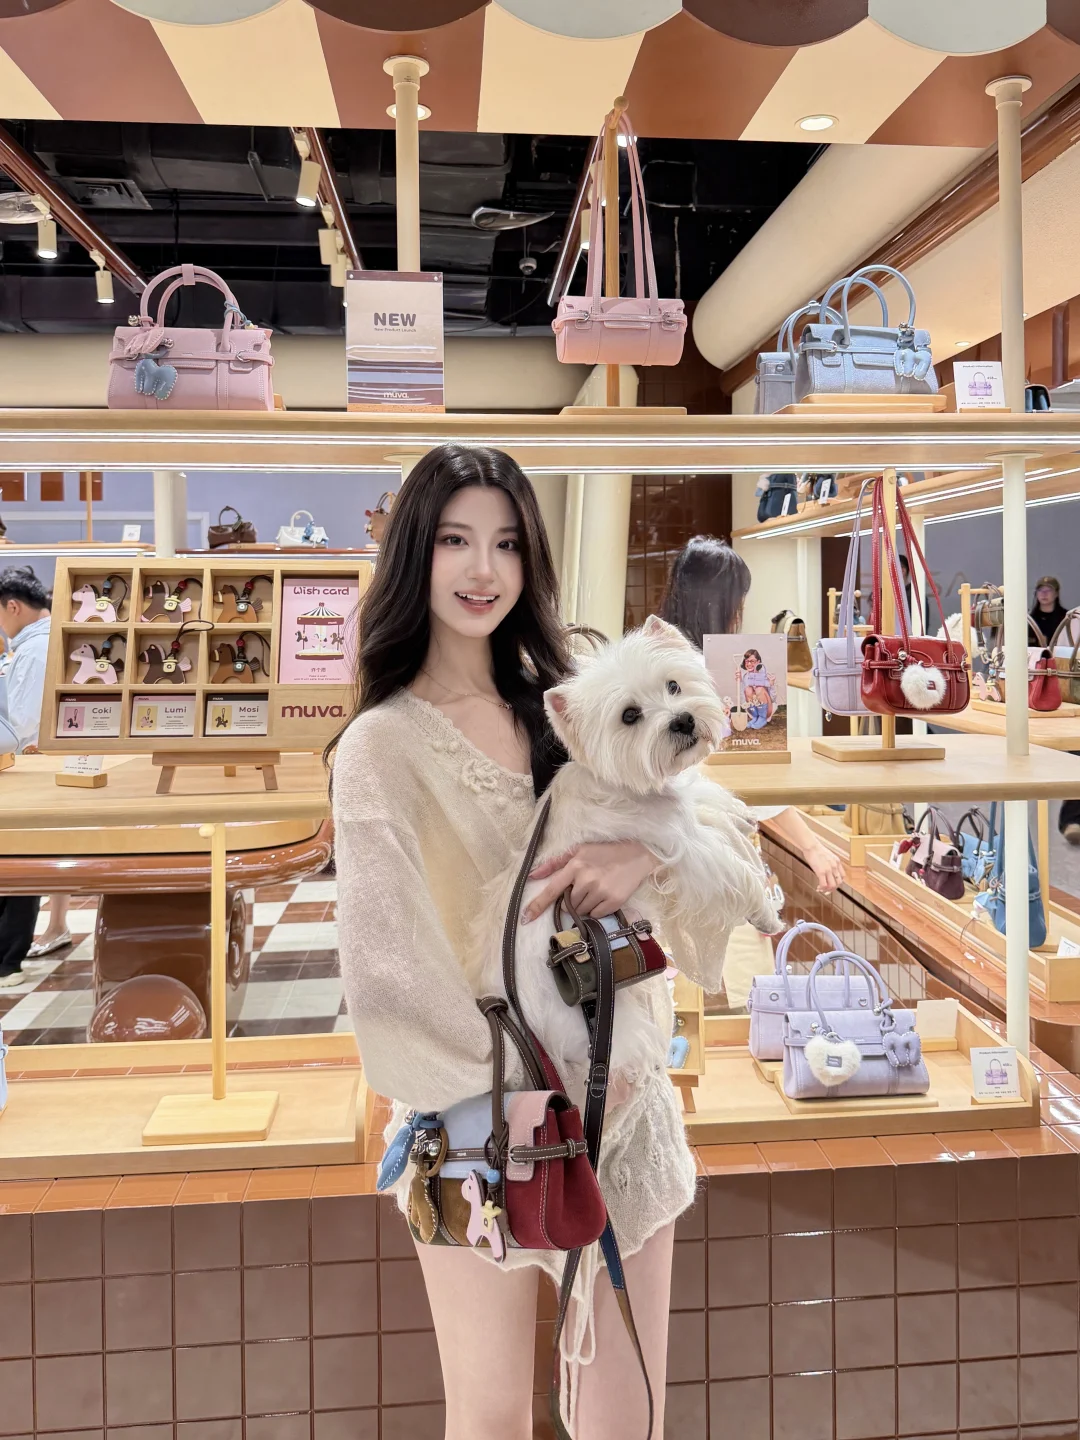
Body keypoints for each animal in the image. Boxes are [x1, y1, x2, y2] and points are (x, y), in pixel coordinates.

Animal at [467, 615, 783, 1097]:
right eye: (630, 716)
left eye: (673, 685)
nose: (683, 720)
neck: (626, 784)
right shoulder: (681, 849)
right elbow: (732, 868)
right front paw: (766, 914)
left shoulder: (681, 810)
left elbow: (706, 800)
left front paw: (743, 814)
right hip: (609, 1026)